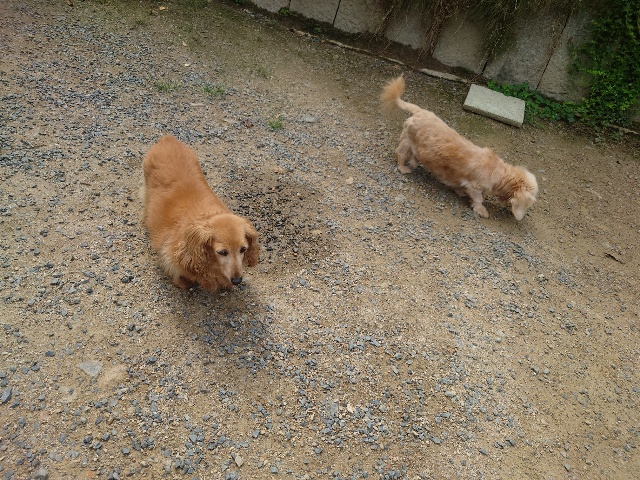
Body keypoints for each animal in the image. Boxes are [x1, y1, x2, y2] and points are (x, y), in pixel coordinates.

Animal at [381, 75, 538, 220]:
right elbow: (478, 199)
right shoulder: (474, 186)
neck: (498, 173)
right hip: (407, 142)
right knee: (400, 154)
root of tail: (420, 111)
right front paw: (480, 209)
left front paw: (460, 192)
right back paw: (403, 167)